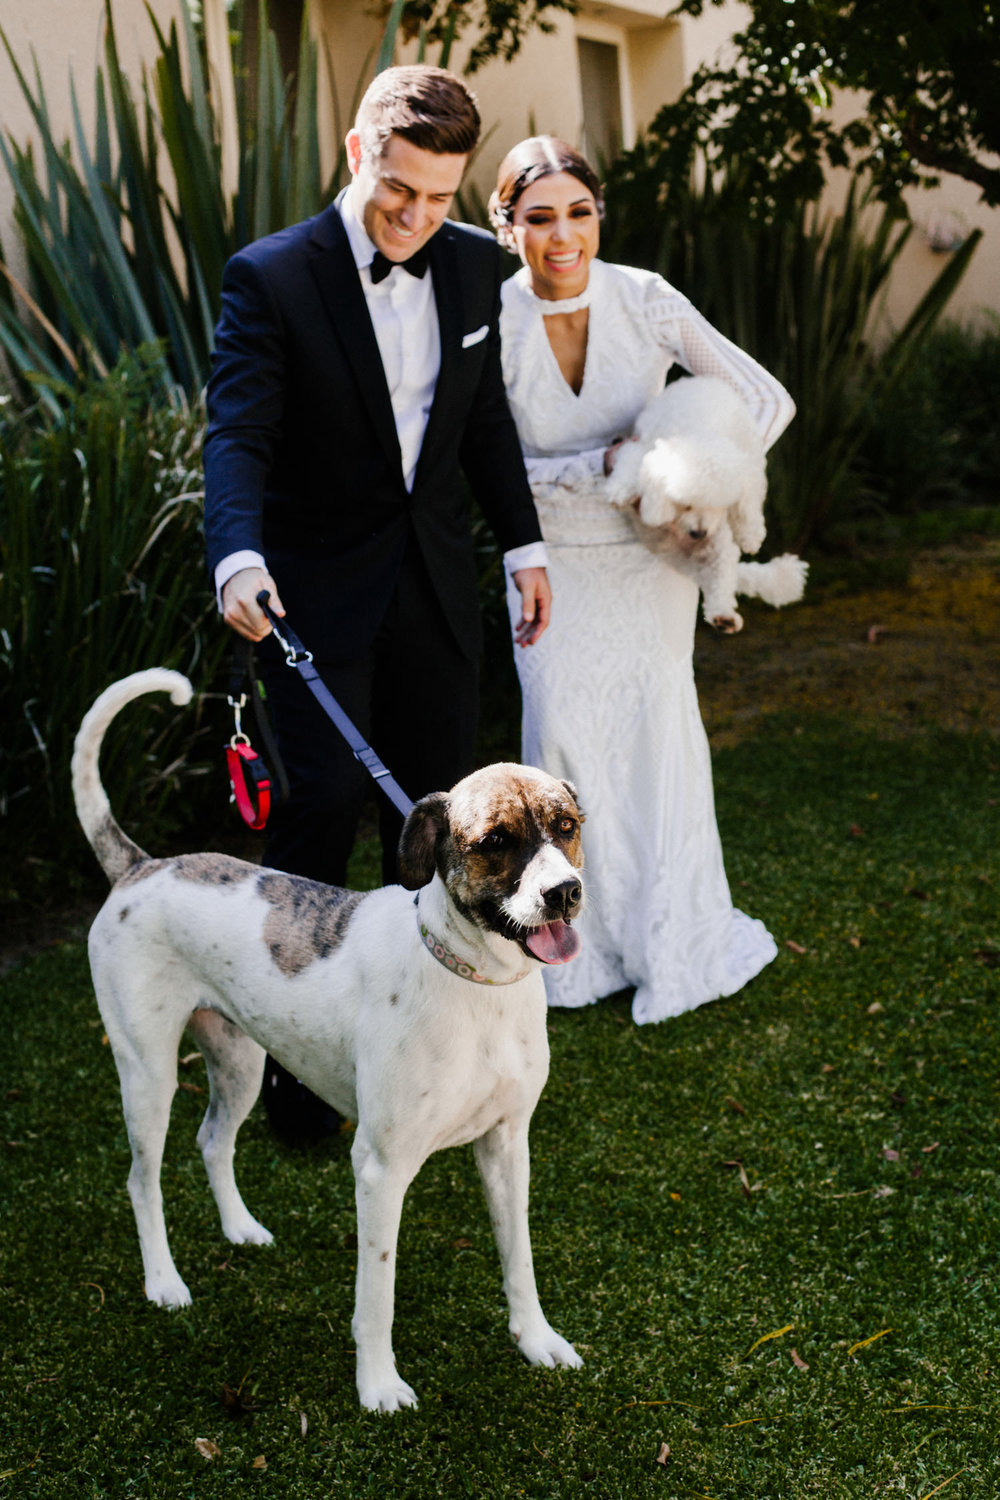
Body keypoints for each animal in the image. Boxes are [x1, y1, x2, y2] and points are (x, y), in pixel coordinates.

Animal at [72, 675, 587, 1410]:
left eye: (567, 827)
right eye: (494, 839)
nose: (564, 892)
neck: (475, 986)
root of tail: (141, 867)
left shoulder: (507, 1144)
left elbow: (520, 1260)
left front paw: (537, 1341)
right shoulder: (379, 1168)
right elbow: (377, 1293)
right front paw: (377, 1386)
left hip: (241, 1060)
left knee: (212, 1139)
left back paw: (241, 1229)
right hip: (147, 1074)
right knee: (142, 1179)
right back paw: (164, 1283)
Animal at [602, 378, 803, 636]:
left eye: (720, 507)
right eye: (685, 505)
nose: (699, 533)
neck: (698, 431)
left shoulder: (745, 472)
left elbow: (748, 505)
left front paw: (749, 534)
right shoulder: (642, 447)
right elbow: (629, 463)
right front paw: (620, 490)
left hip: (722, 540)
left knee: (721, 579)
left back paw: (725, 614)